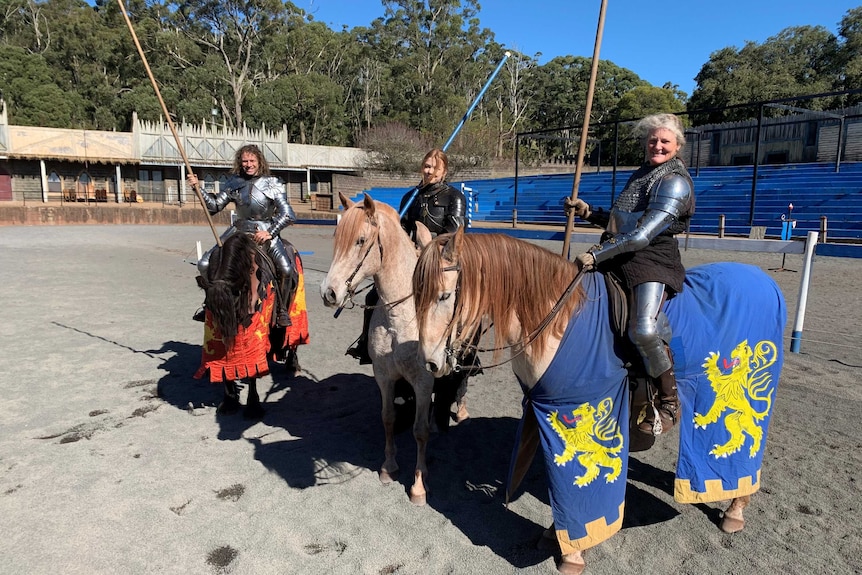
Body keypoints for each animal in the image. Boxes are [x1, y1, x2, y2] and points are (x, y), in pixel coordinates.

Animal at [196, 233, 310, 418]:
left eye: (234, 303)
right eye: (211, 308)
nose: (228, 335)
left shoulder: (255, 326)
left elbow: (253, 365)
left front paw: (253, 406)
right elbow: (225, 361)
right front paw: (229, 401)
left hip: (296, 305)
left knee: (293, 336)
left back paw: (292, 363)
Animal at [320, 192, 472, 504]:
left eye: (360, 240)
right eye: (336, 236)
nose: (329, 293)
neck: (402, 316)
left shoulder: (424, 379)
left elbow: (420, 431)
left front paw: (419, 485)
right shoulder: (385, 376)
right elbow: (388, 418)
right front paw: (389, 467)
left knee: (461, 381)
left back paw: (460, 409)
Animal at [416, 227, 788, 572]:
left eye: (444, 295)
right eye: (417, 296)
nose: (429, 363)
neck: (558, 318)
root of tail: (765, 282)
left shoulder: (583, 405)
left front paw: (573, 554)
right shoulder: (546, 411)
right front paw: (555, 535)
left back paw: (735, 507)